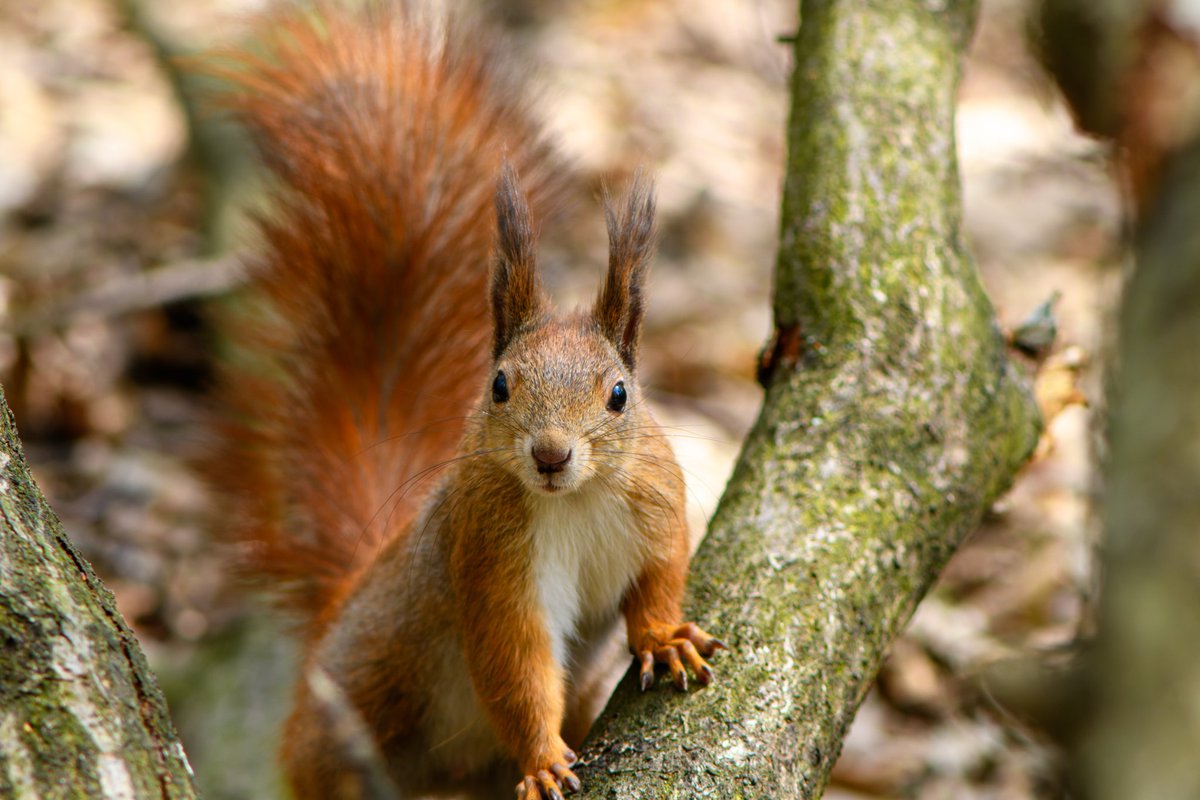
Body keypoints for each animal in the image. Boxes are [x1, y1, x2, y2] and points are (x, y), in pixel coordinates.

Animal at [208, 3, 720, 796]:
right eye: (500, 384)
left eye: (619, 394)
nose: (550, 455)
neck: (575, 500)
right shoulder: (488, 555)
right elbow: (514, 665)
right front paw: (542, 761)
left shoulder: (658, 504)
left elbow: (660, 580)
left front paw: (663, 637)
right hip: (356, 709)